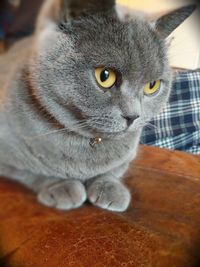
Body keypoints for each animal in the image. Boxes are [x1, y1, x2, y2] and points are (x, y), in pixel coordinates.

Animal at [0, 0, 195, 211]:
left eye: (152, 86)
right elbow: (30, 172)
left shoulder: (128, 156)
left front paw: (110, 189)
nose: (133, 116)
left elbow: (112, 171)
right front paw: (61, 186)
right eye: (105, 76)